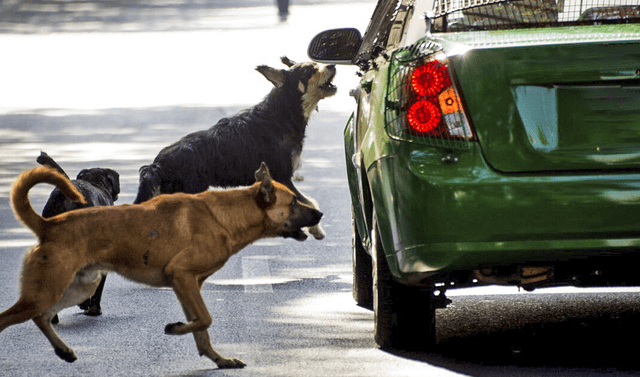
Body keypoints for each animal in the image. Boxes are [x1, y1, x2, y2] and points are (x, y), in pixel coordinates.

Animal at [133, 55, 338, 238]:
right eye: (309, 70)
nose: (332, 65)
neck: (283, 113)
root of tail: (156, 165)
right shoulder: (283, 177)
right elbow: (310, 202)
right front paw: (316, 228)